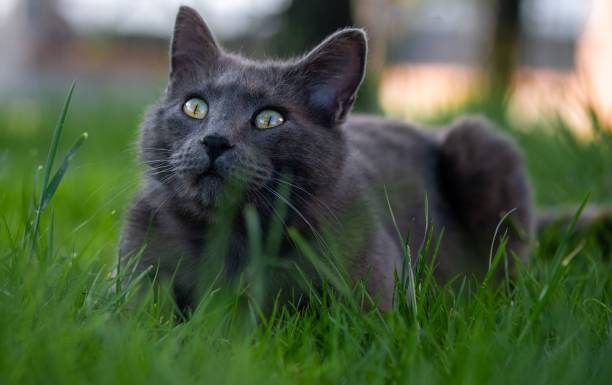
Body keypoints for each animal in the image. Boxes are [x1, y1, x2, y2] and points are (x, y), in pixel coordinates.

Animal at [120, 6, 536, 310]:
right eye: (195, 107)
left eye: (269, 119)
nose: (215, 141)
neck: (231, 233)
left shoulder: (381, 289)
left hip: (480, 145)